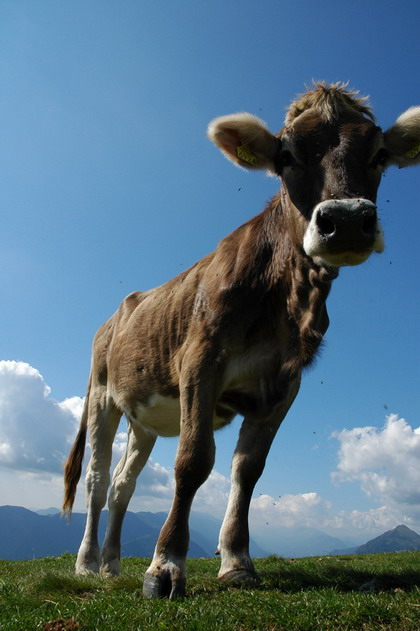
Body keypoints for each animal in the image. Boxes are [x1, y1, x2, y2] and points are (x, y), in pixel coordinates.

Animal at [63, 82, 420, 599]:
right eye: (287, 155)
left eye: (379, 154)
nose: (348, 220)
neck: (287, 301)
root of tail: (116, 313)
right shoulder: (201, 359)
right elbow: (193, 461)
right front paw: (165, 567)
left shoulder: (284, 383)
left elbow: (247, 470)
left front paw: (236, 562)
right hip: (101, 396)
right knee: (95, 477)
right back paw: (88, 563)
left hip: (143, 416)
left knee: (122, 484)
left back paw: (112, 564)